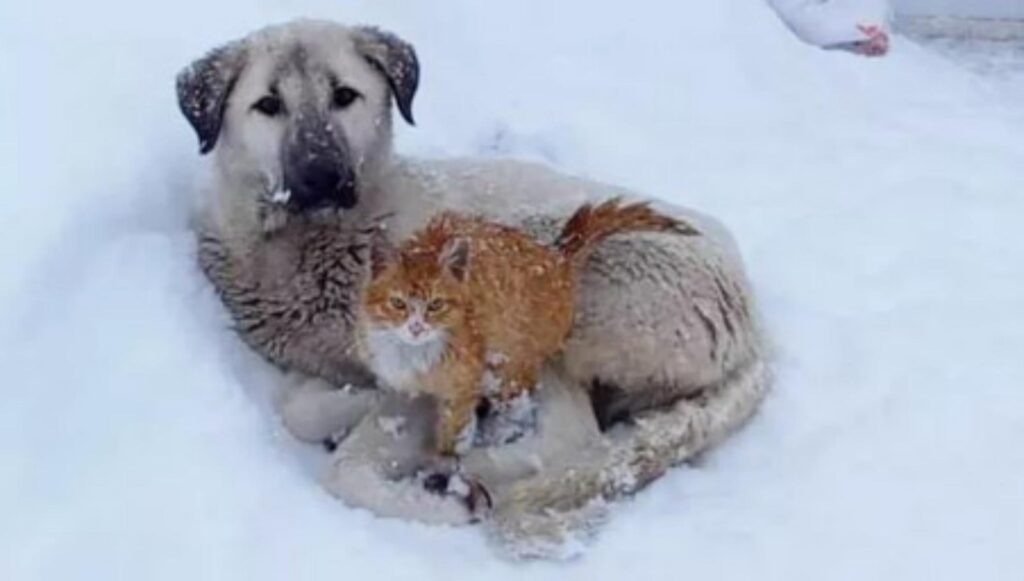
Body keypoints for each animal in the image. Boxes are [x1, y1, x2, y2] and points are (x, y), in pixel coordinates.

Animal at [356, 199, 700, 459]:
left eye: (436, 305)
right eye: (398, 303)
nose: (416, 326)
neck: (413, 355)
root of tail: (558, 258)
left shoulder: (464, 386)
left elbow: (454, 429)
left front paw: (448, 456)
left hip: (509, 363)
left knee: (519, 402)